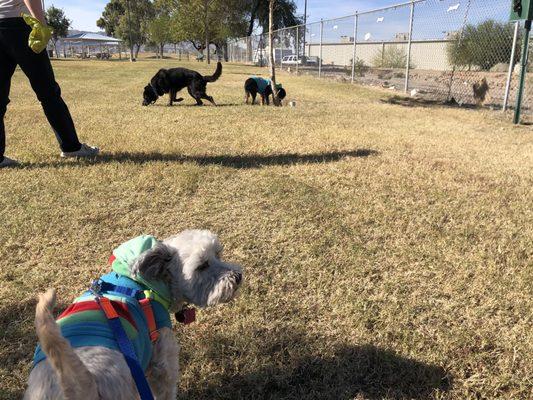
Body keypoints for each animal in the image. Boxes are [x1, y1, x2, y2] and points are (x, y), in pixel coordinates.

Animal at [23, 230, 242, 398]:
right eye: (202, 266)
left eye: (218, 254)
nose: (238, 276)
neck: (143, 285)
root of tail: (79, 386)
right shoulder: (163, 360)